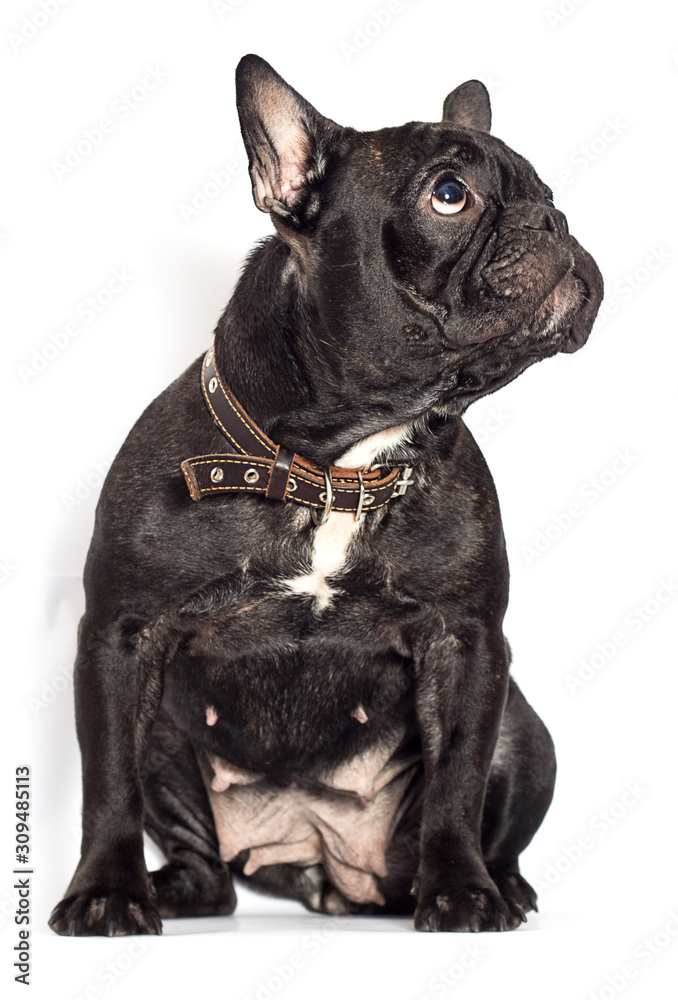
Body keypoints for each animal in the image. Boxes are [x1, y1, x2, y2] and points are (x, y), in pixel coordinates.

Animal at [51, 54, 604, 932]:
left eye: (547, 192)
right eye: (450, 193)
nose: (554, 221)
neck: (339, 466)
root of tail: (321, 862)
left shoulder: (468, 645)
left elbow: (456, 782)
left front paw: (461, 893)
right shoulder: (121, 637)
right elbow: (107, 786)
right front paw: (105, 892)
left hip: (524, 726)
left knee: (492, 812)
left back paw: (498, 885)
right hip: (166, 733)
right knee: (204, 864)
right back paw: (169, 889)